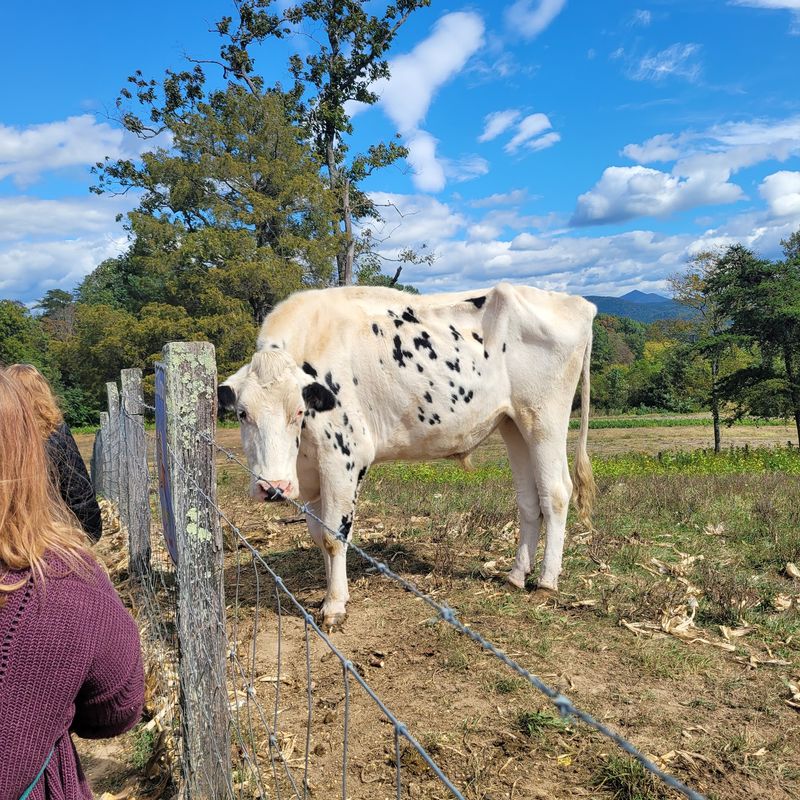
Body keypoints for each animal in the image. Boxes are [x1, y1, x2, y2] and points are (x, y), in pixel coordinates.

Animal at [218, 283, 596, 630]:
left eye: (298, 411)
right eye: (242, 413)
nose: (273, 487)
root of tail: (578, 303)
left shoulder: (343, 458)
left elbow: (333, 536)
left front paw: (335, 605)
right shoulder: (313, 474)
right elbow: (317, 534)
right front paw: (332, 594)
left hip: (544, 418)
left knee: (556, 493)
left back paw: (546, 580)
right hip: (513, 424)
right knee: (529, 500)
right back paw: (517, 574)